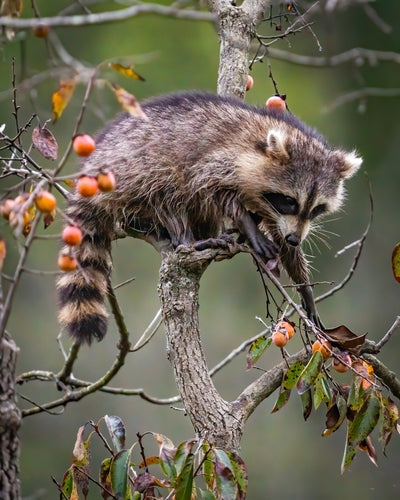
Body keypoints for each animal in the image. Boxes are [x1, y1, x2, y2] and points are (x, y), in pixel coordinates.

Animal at [57, 92, 362, 344]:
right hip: (130, 171)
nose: (295, 239)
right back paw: (186, 239)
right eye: (289, 201)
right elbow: (210, 188)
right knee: (168, 188)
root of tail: (95, 160)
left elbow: (279, 234)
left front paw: (303, 282)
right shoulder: (220, 160)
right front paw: (248, 225)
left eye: (316, 208)